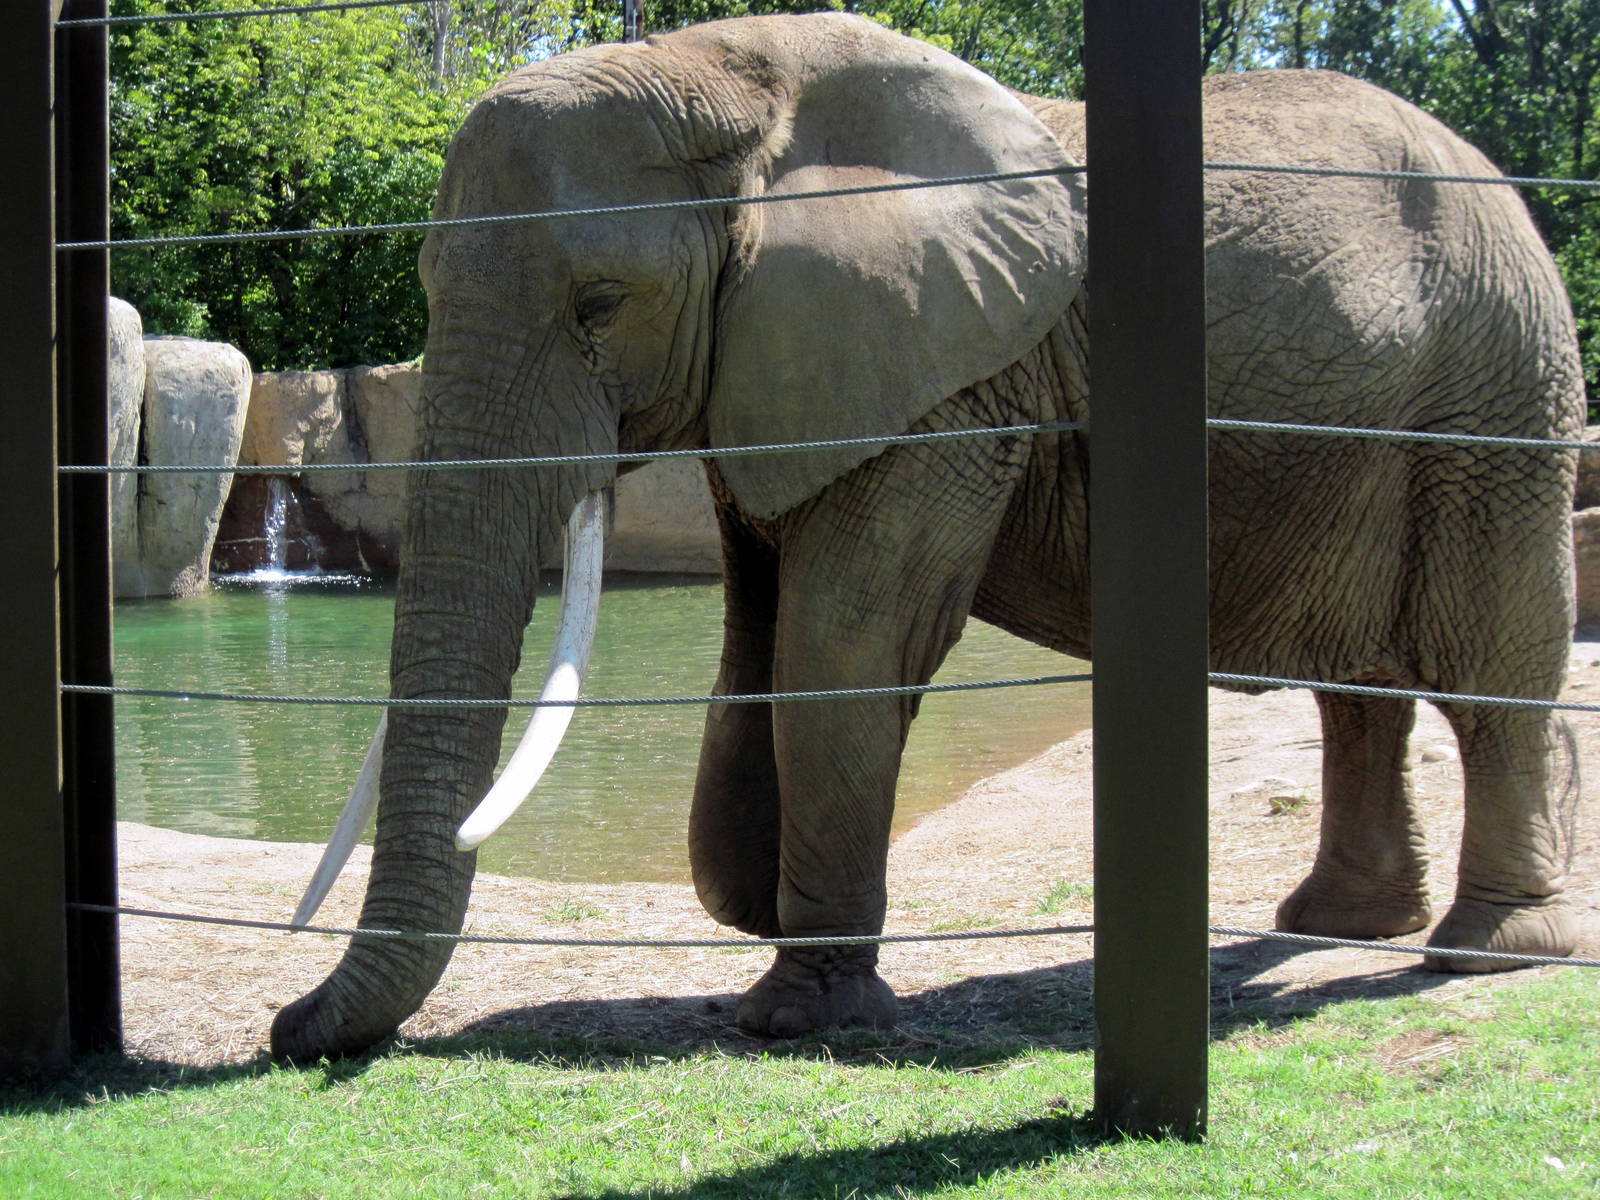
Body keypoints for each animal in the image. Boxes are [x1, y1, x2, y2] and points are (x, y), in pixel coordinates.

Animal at [269, 13, 1585, 1062]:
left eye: (599, 308)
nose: (288, 1030)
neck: (730, 78)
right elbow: (758, 646)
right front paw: (765, 907)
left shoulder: (952, 384)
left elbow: (842, 641)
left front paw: (799, 1015)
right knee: (1359, 684)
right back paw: (1335, 924)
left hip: (1493, 395)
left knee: (1488, 658)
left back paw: (1485, 949)